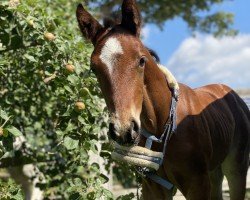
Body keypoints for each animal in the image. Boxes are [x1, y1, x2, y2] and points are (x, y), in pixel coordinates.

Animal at [76, 0, 250, 199]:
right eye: (94, 68)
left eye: (141, 60)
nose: (123, 130)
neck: (162, 126)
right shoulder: (153, 187)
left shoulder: (198, 185)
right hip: (215, 173)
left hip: (236, 170)